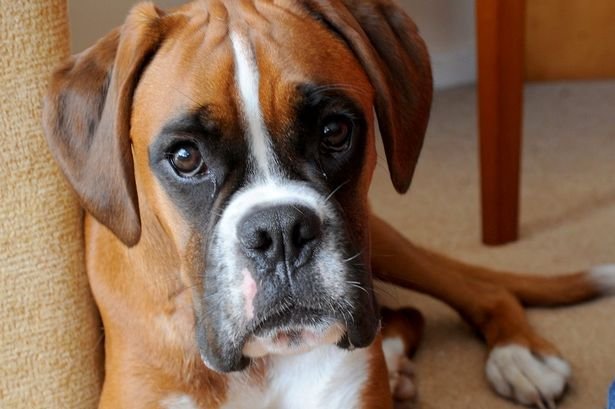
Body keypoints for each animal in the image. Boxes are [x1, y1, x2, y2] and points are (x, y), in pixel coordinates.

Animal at [41, 0, 612, 408]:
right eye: (184, 157)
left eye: (334, 130)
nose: (279, 232)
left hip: (380, 242)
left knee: (472, 290)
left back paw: (521, 356)